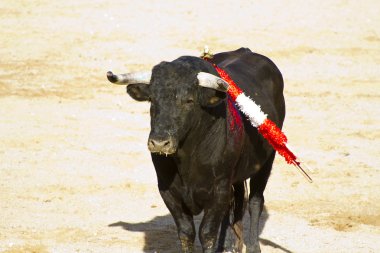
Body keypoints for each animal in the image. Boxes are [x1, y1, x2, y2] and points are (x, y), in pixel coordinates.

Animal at [107, 48, 284, 253]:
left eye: (189, 100)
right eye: (152, 99)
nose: (159, 143)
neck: (187, 158)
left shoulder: (219, 190)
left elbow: (207, 233)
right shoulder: (168, 190)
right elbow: (186, 232)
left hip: (267, 160)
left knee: (255, 202)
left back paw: (253, 247)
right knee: (237, 201)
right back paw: (229, 246)